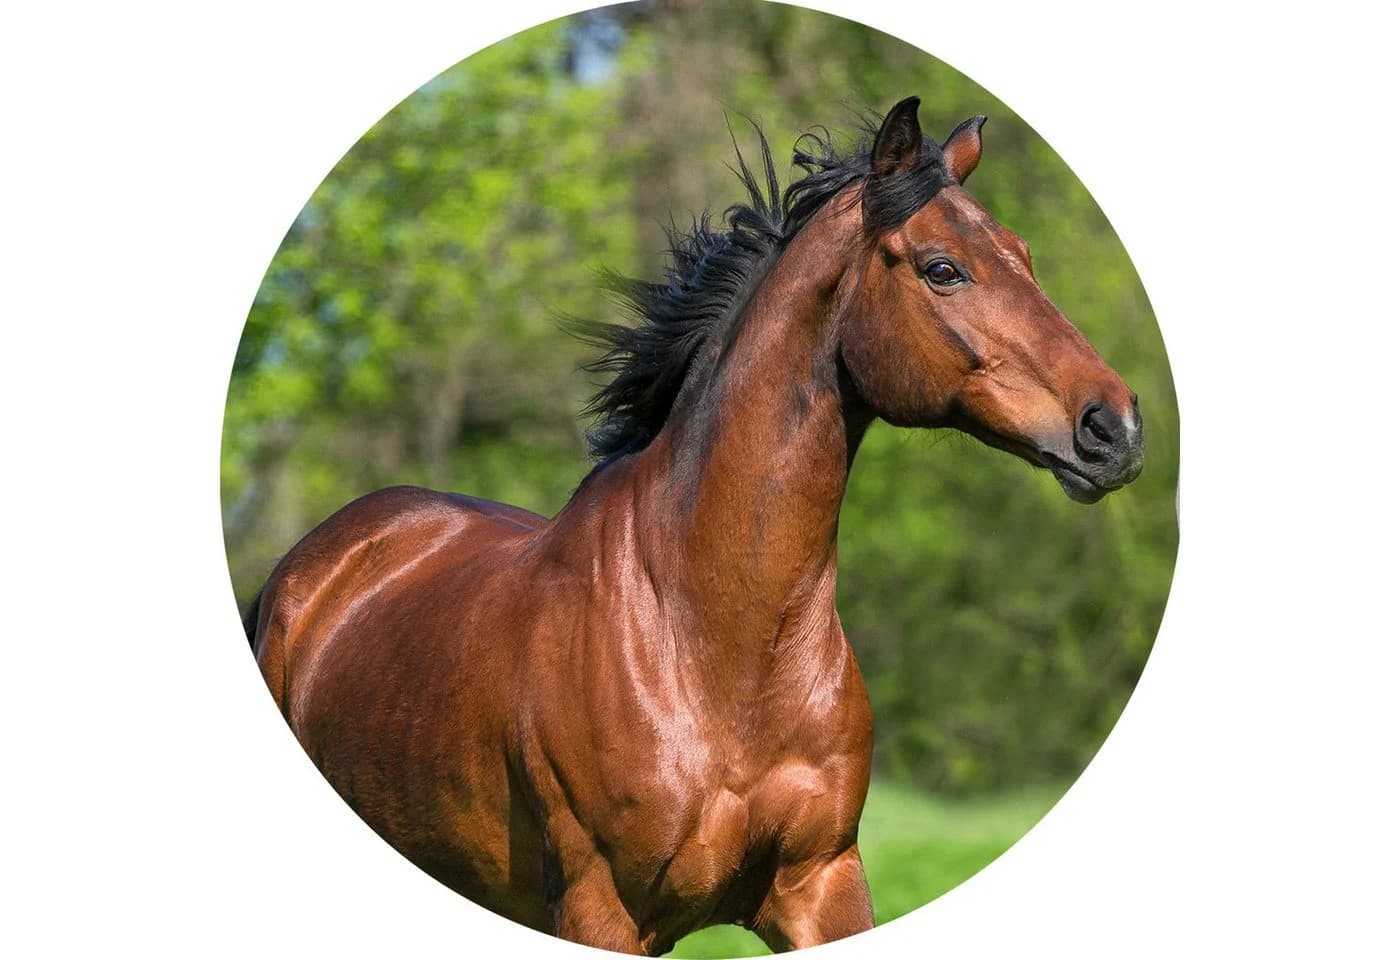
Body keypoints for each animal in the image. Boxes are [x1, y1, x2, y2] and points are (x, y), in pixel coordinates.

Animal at [245, 96, 1144, 955]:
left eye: (1024, 255)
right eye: (943, 269)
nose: (1116, 428)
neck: (713, 646)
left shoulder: (820, 884)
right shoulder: (602, 909)